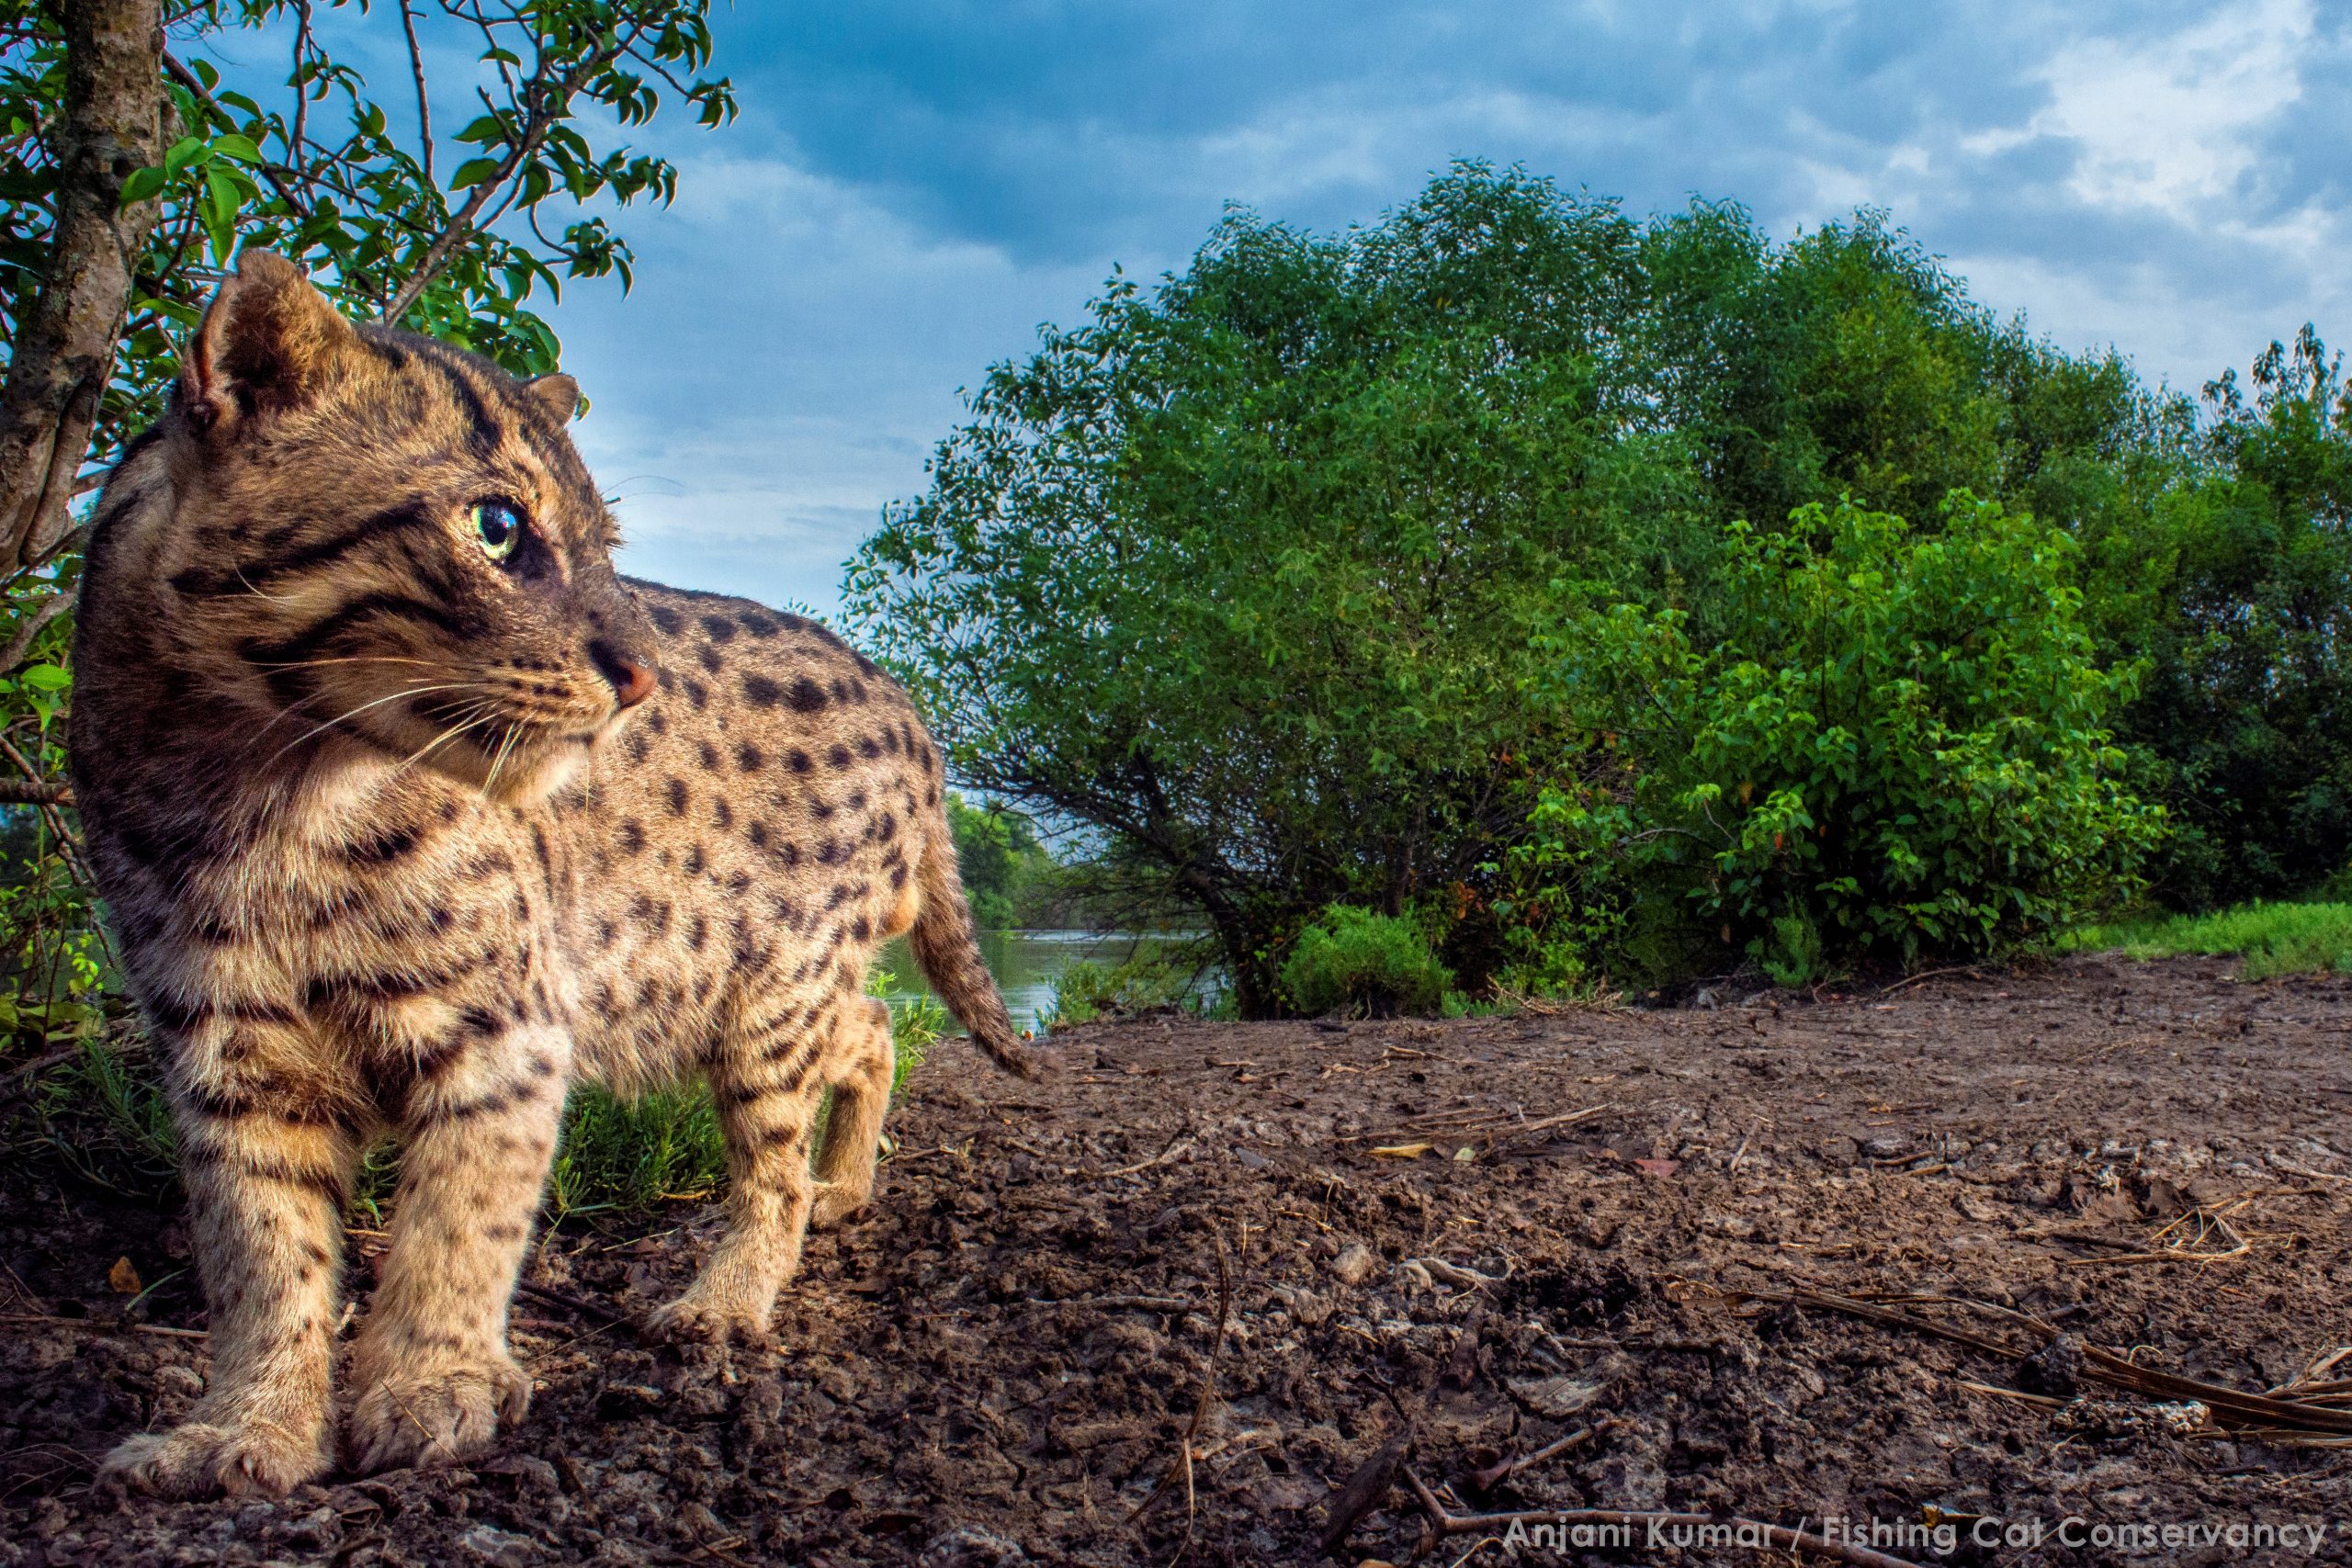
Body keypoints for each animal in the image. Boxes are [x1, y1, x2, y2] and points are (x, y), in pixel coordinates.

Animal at [74, 251, 1035, 1504]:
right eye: (496, 527)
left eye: (608, 544)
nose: (640, 674)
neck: (266, 796)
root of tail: (912, 716)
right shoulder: (230, 1049)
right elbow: (260, 1251)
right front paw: (250, 1423)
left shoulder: (506, 1032)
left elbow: (459, 1220)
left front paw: (429, 1383)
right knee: (872, 1027)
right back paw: (848, 1185)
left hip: (764, 987)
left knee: (780, 1151)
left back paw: (732, 1291)